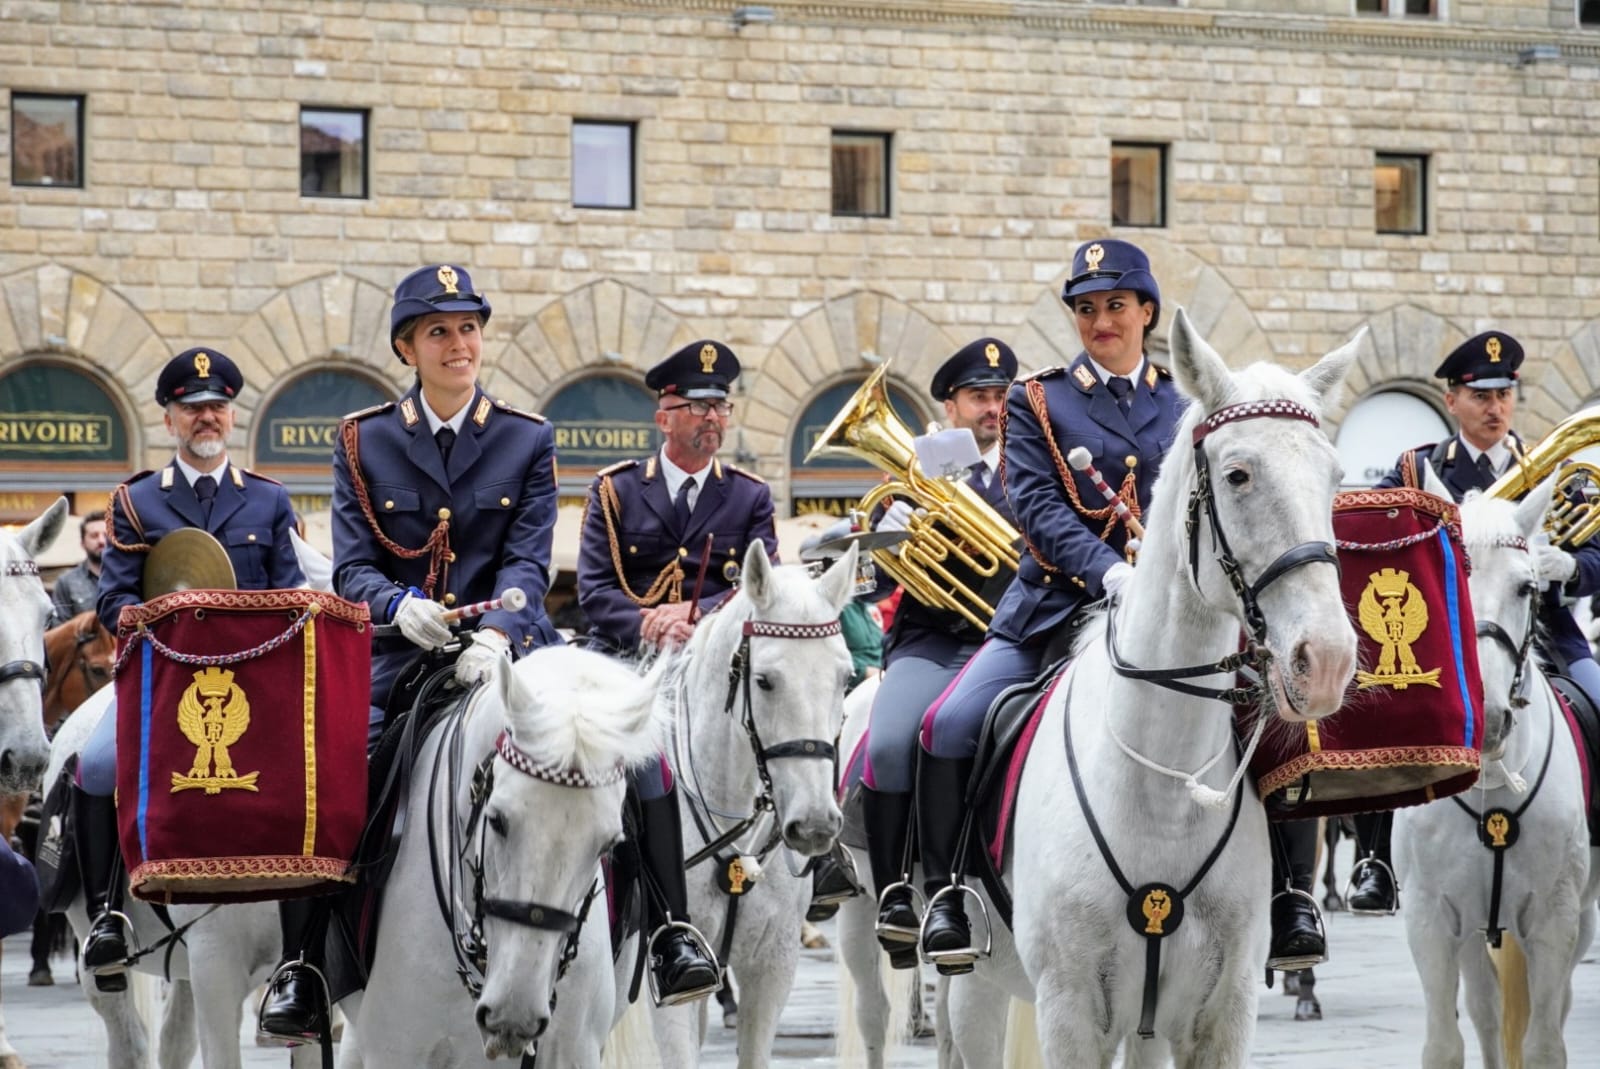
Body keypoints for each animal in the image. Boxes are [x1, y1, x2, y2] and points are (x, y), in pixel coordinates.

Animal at [934, 310, 1363, 1069]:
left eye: (1335, 476)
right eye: (1238, 473)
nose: (1329, 660)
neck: (1163, 788)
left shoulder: (1219, 1015)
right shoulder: (1072, 1013)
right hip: (975, 987)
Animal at [1395, 483, 1593, 1069]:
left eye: (1527, 587)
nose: (1487, 719)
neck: (1492, 786)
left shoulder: (1555, 918)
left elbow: (1544, 1044)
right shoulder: (1431, 919)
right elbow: (1445, 1045)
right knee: (1484, 1013)